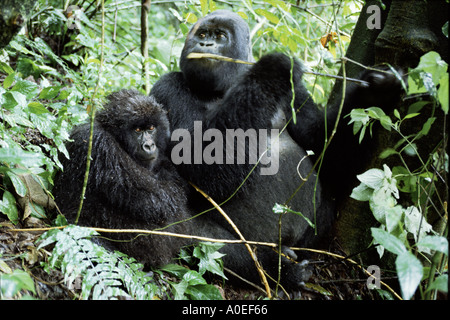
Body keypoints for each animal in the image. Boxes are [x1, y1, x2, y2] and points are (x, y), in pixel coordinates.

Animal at [149, 10, 402, 290]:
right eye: (202, 34)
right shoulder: (168, 88)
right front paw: (272, 70)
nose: (204, 44)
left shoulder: (297, 92)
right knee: (207, 241)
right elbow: (196, 163)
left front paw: (377, 94)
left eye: (219, 36)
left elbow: (324, 152)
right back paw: (278, 270)